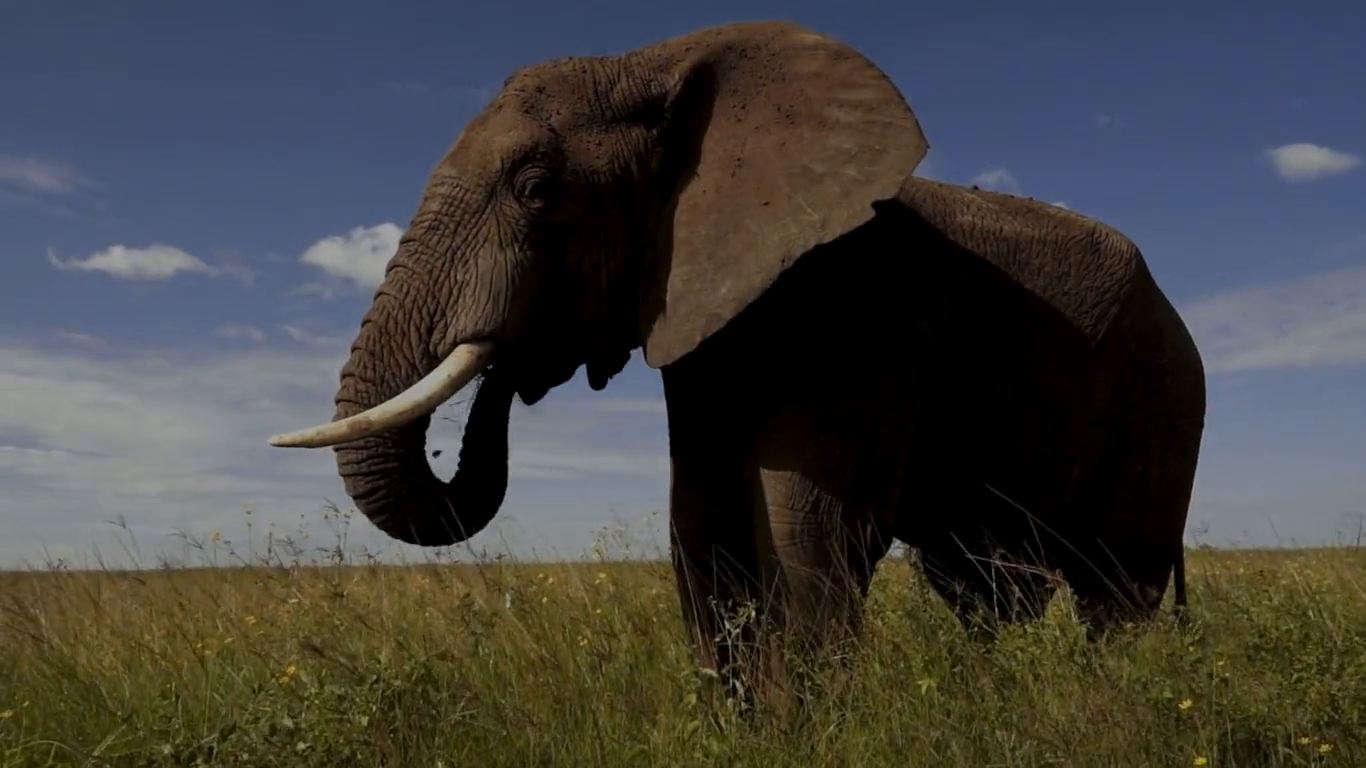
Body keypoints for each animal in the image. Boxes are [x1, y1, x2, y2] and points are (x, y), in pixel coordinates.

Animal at [269, 20, 1205, 680]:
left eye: (537, 192)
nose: (511, 367)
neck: (659, 61)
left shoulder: (853, 307)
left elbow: (807, 536)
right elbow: (701, 530)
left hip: (1163, 400)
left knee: (1113, 591)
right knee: (984, 589)